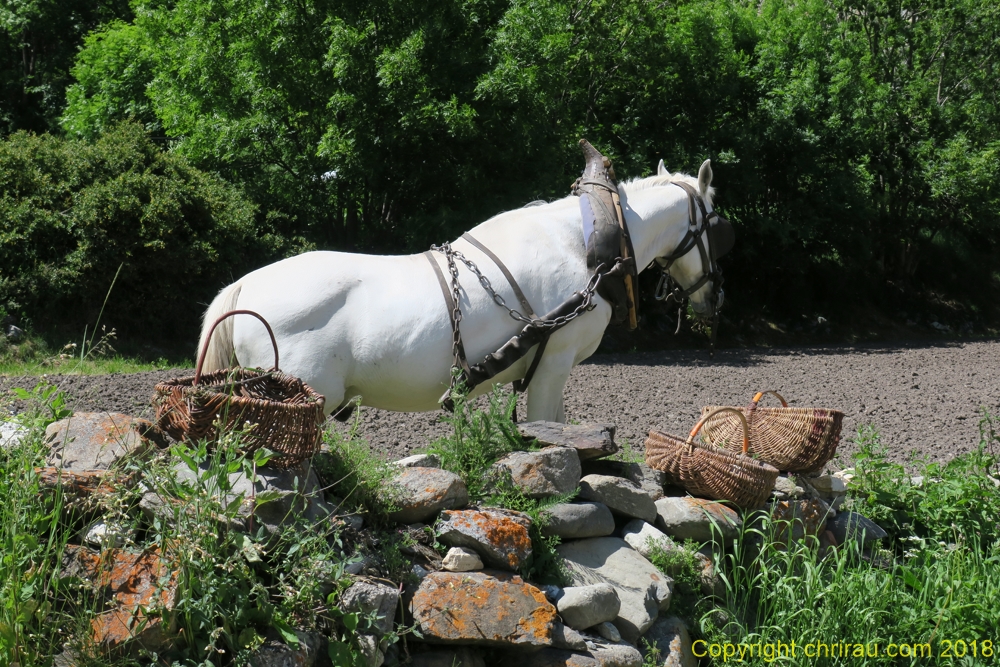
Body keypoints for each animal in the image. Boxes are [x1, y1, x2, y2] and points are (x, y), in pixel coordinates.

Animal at [197, 159, 728, 422]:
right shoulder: (552, 366)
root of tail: (243, 286)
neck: (581, 245)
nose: (715, 299)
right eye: (720, 225)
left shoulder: (545, 372)